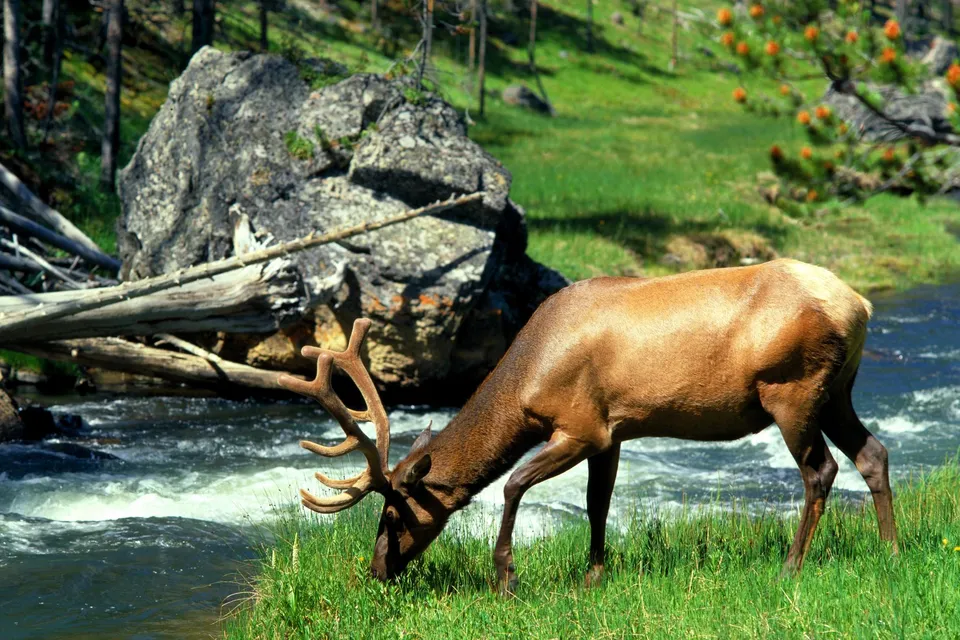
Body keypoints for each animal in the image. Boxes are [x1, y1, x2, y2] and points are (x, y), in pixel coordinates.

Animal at [277, 258, 897, 592]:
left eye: (391, 513)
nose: (376, 571)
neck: (528, 379)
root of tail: (860, 304)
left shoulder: (580, 426)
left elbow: (512, 484)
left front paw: (506, 578)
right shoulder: (614, 431)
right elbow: (599, 503)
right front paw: (593, 576)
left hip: (793, 389)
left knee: (821, 470)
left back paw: (790, 567)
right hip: (836, 391)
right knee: (873, 453)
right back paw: (891, 549)